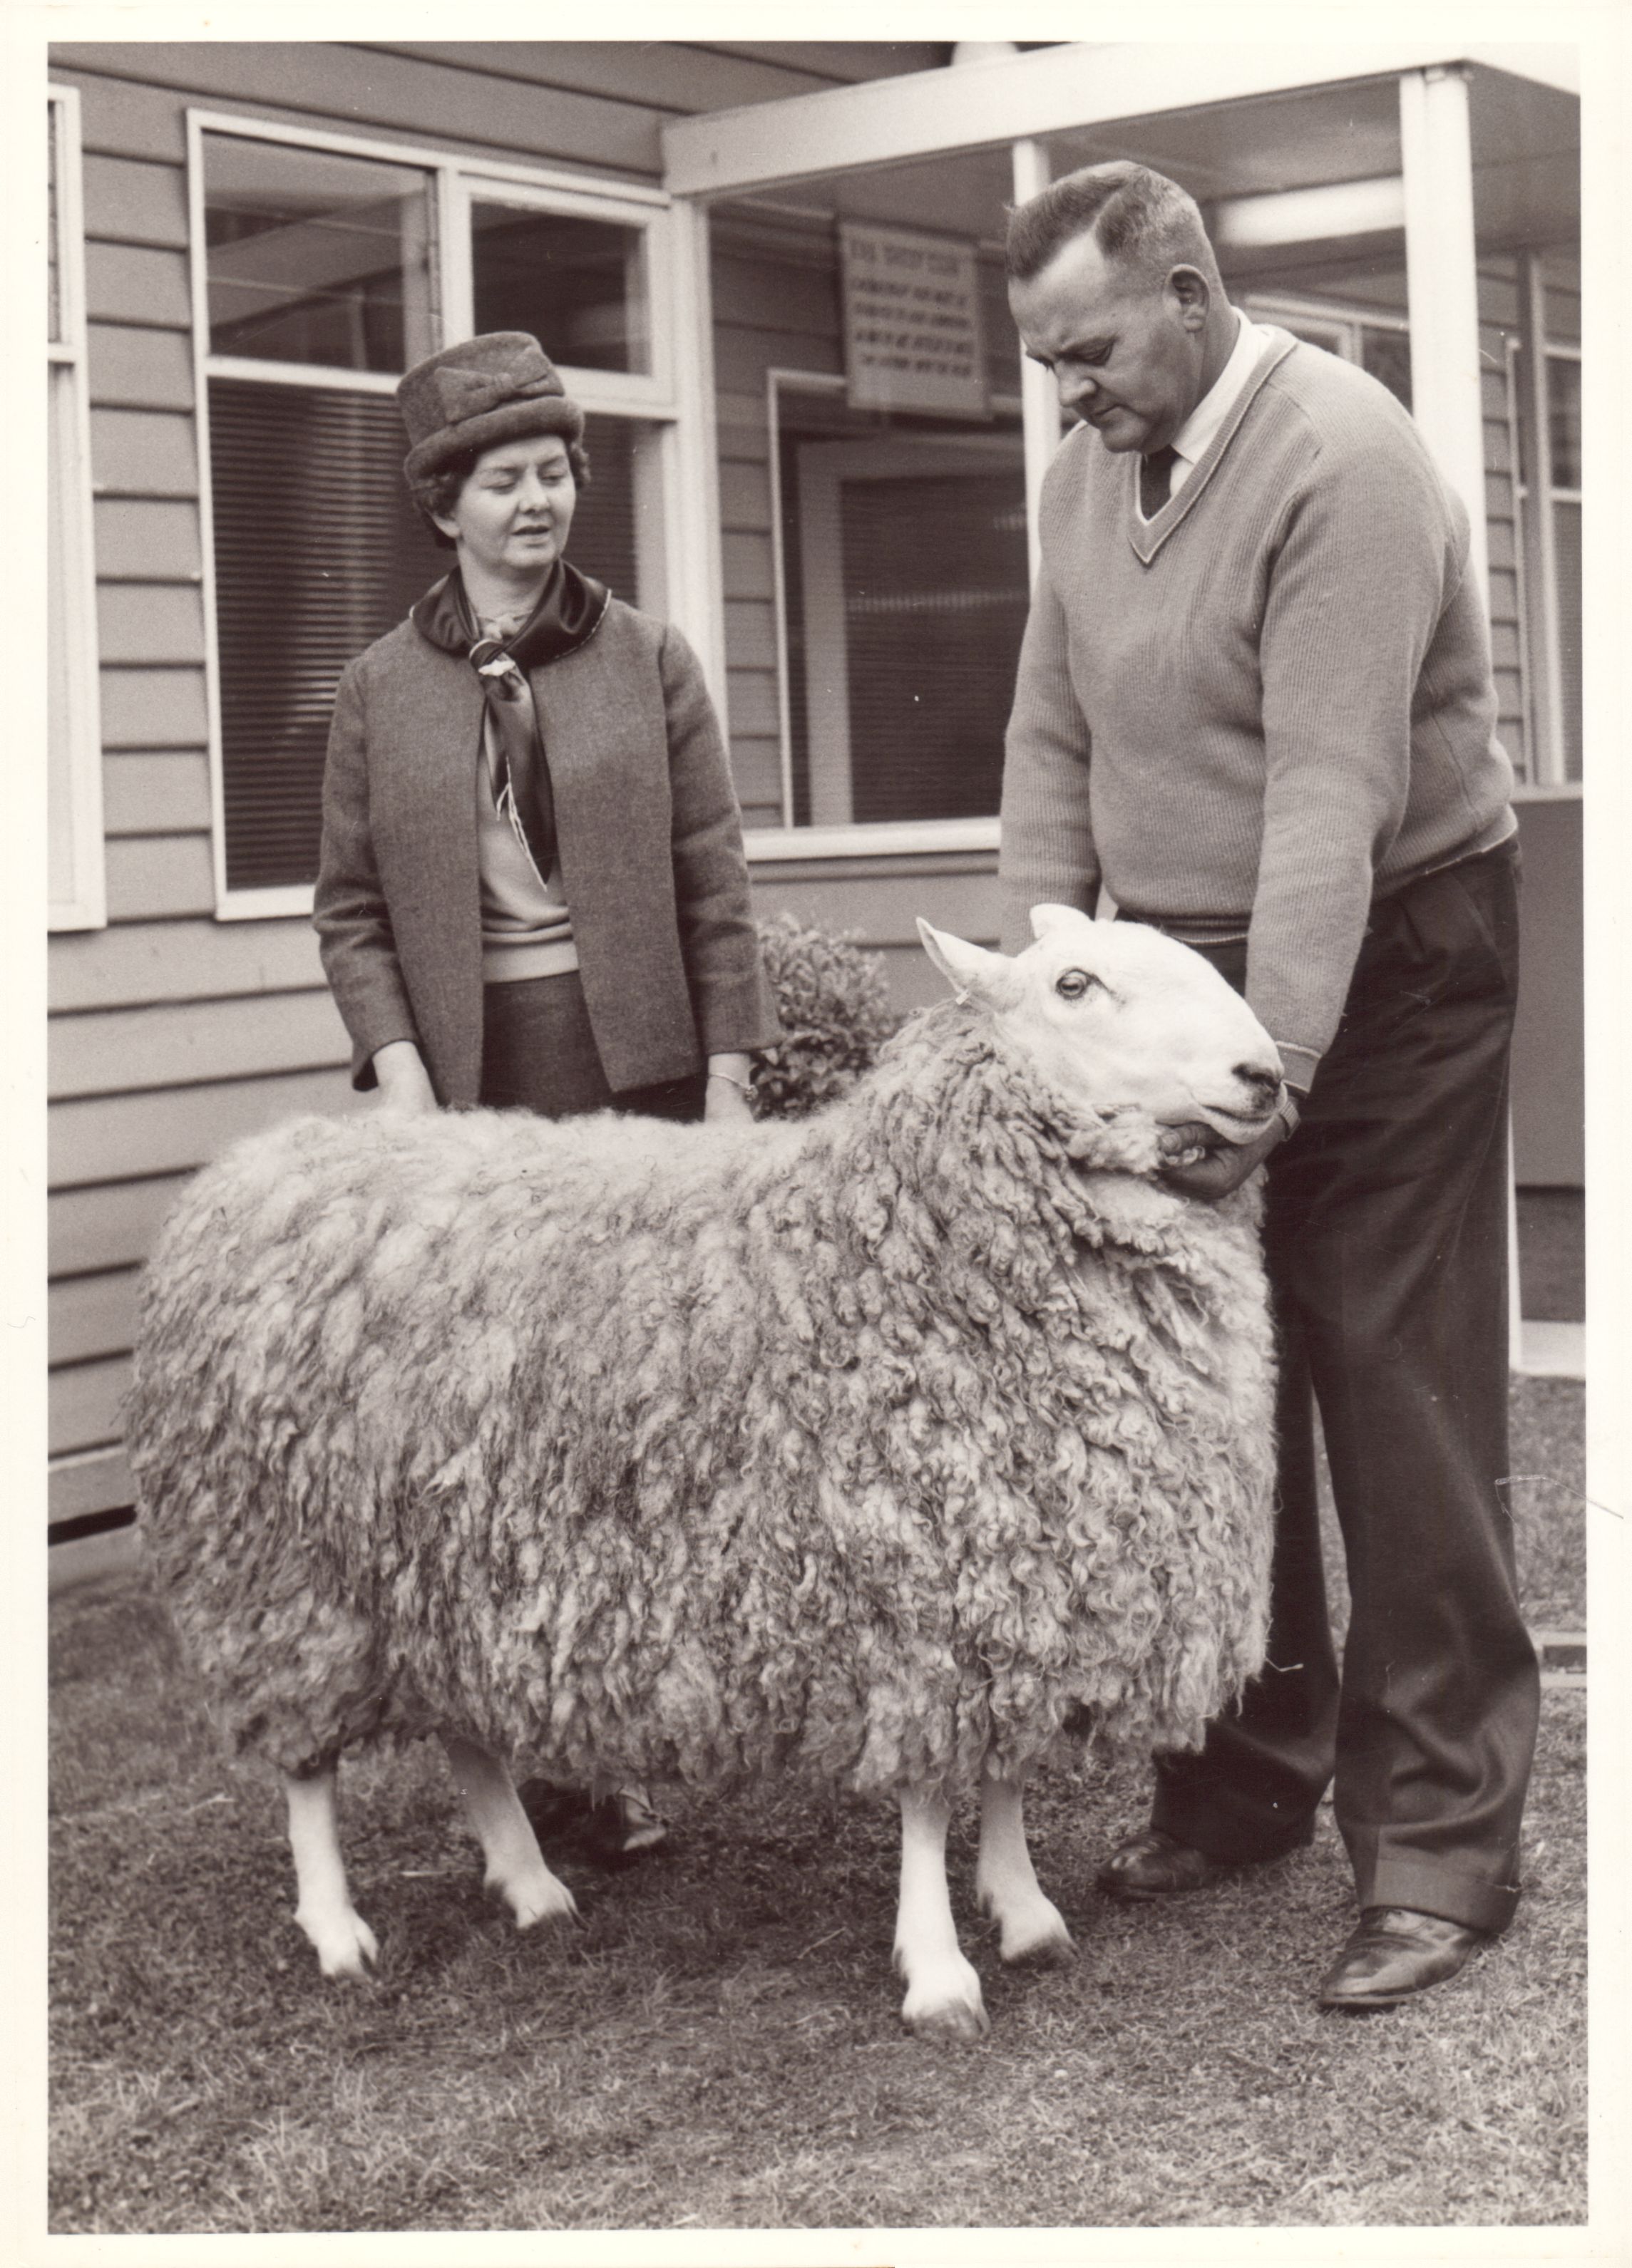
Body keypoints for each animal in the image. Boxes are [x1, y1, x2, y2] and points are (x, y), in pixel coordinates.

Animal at [127, 905, 1283, 2043]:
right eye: (1074, 985)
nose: (1265, 1073)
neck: (896, 1237)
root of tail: (257, 1156)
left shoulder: (1022, 1579)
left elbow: (1001, 1767)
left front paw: (1025, 1909)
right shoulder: (910, 1591)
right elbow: (926, 1797)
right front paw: (938, 1969)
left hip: (431, 1561)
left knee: (463, 1730)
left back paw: (528, 1882)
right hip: (281, 1574)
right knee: (306, 1764)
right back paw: (336, 1927)